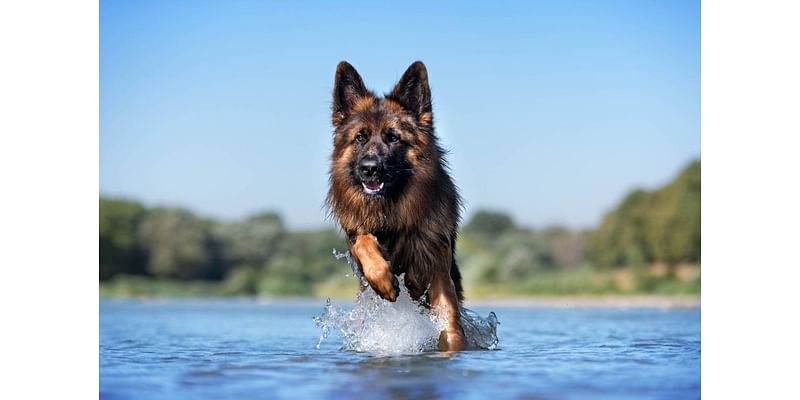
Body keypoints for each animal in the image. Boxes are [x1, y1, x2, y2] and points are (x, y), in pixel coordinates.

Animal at [324, 61, 466, 352]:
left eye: (393, 138)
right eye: (360, 138)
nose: (369, 168)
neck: (392, 213)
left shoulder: (437, 269)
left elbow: (448, 325)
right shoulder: (358, 231)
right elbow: (364, 242)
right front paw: (385, 281)